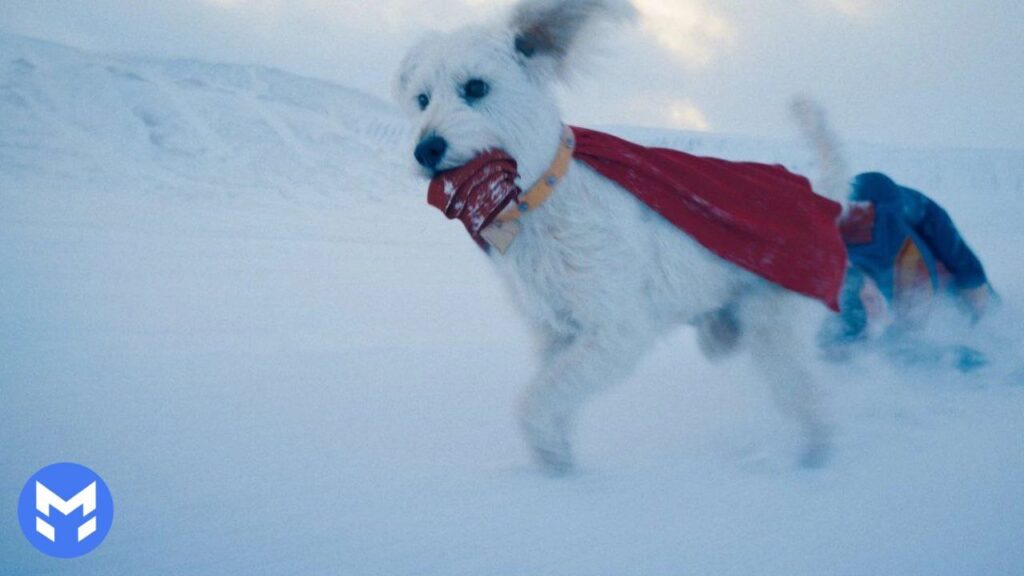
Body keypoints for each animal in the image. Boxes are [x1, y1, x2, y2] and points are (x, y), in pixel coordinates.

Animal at [395, 0, 835, 471]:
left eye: (476, 87)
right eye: (422, 99)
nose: (425, 149)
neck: (538, 203)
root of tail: (822, 201)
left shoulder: (616, 331)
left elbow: (535, 402)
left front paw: (557, 466)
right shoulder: (555, 334)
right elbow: (548, 398)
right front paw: (556, 464)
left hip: (773, 330)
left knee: (810, 400)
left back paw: (811, 462)